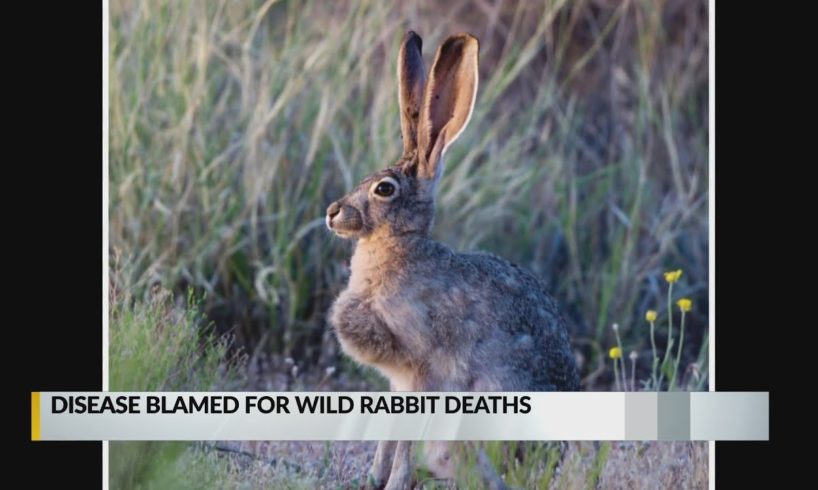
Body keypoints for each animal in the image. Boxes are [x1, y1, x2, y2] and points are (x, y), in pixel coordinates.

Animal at [326, 31, 580, 490]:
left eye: (384, 189)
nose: (332, 212)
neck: (398, 250)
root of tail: (543, 465)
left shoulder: (422, 371)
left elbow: (405, 438)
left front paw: (394, 482)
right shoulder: (397, 383)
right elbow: (388, 435)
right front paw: (373, 478)